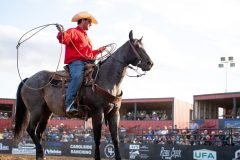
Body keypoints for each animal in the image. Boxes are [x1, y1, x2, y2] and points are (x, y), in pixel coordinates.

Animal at [14, 30, 154, 160]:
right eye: (137, 46)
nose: (150, 63)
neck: (105, 78)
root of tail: (28, 79)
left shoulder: (114, 113)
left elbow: (115, 139)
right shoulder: (97, 112)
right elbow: (97, 138)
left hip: (47, 112)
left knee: (39, 132)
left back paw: (40, 154)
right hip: (36, 110)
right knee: (30, 129)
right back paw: (41, 150)